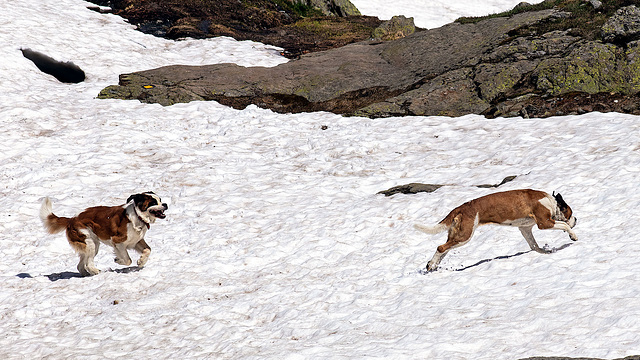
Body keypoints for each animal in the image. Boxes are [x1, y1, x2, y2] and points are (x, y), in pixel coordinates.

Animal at [37, 193, 168, 278]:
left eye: (160, 200)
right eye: (153, 202)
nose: (165, 204)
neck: (138, 216)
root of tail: (72, 219)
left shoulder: (136, 241)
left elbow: (148, 250)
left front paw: (141, 261)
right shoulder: (118, 241)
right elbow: (127, 260)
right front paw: (118, 260)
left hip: (90, 245)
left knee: (81, 265)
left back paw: (87, 274)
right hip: (90, 242)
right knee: (88, 263)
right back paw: (96, 272)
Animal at [412, 190, 576, 272]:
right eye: (570, 212)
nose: (577, 220)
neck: (551, 202)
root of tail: (460, 208)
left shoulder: (525, 228)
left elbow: (534, 246)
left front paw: (545, 252)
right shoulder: (545, 223)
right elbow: (564, 225)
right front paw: (573, 236)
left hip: (458, 236)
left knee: (444, 249)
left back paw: (431, 265)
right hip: (465, 235)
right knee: (441, 248)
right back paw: (432, 265)